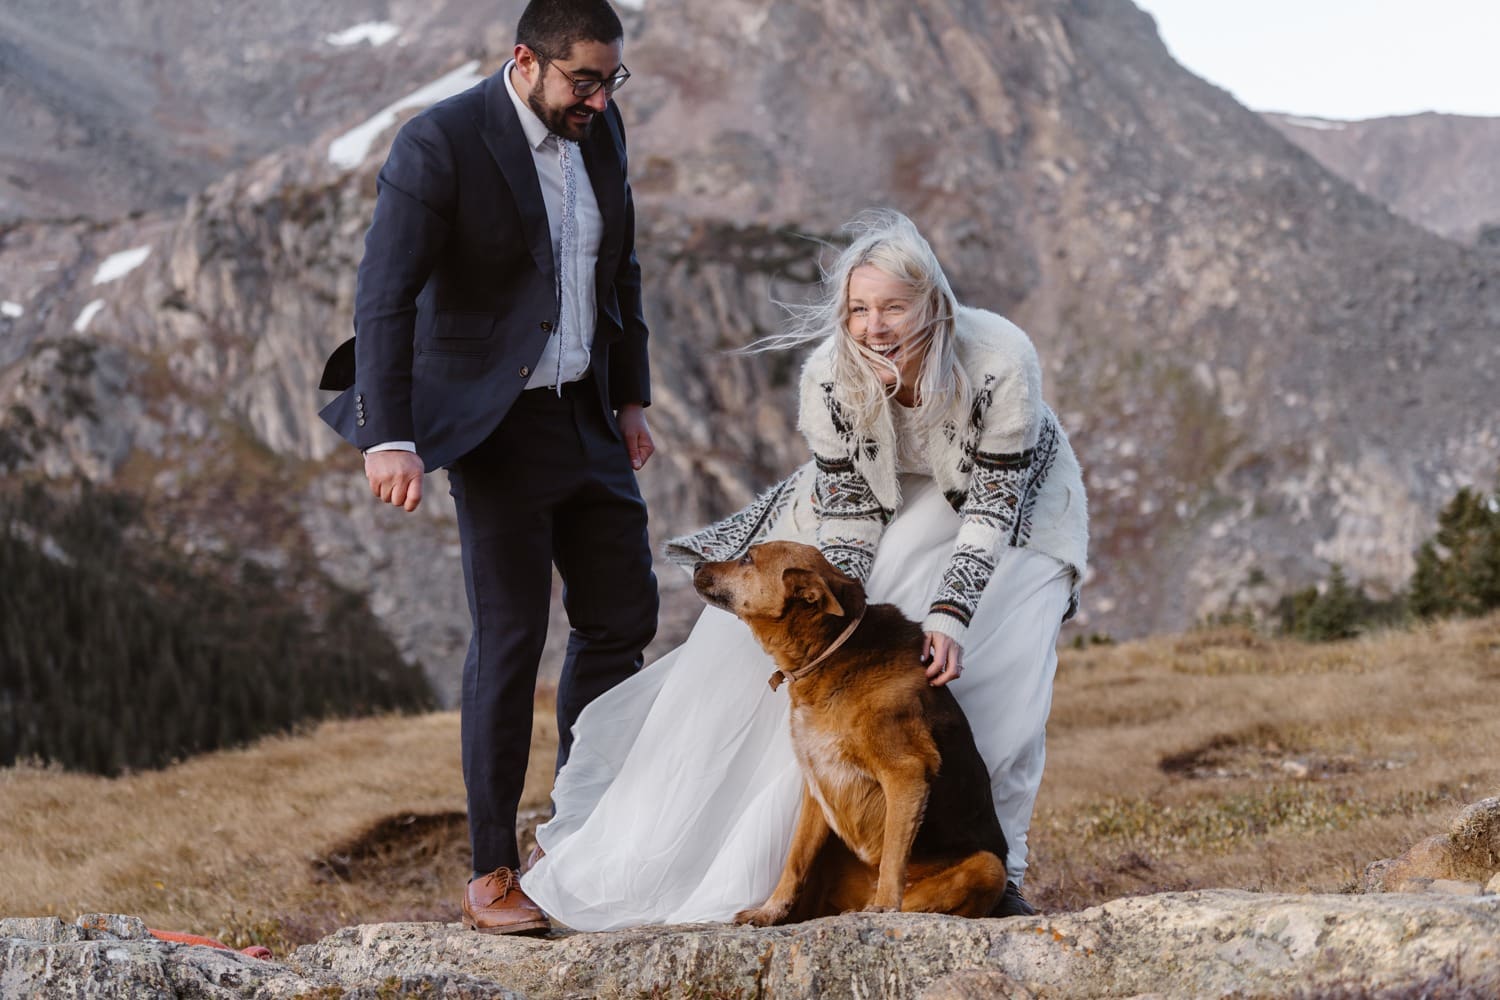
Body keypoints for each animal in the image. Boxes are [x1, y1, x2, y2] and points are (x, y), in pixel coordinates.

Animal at [690, 542, 1008, 929]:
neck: (830, 652)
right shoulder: (817, 787)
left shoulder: (906, 772)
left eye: (748, 559)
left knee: (921, 900)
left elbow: (893, 855)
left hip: (989, 867)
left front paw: (884, 907)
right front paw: (770, 911)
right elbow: (794, 861)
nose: (696, 565)